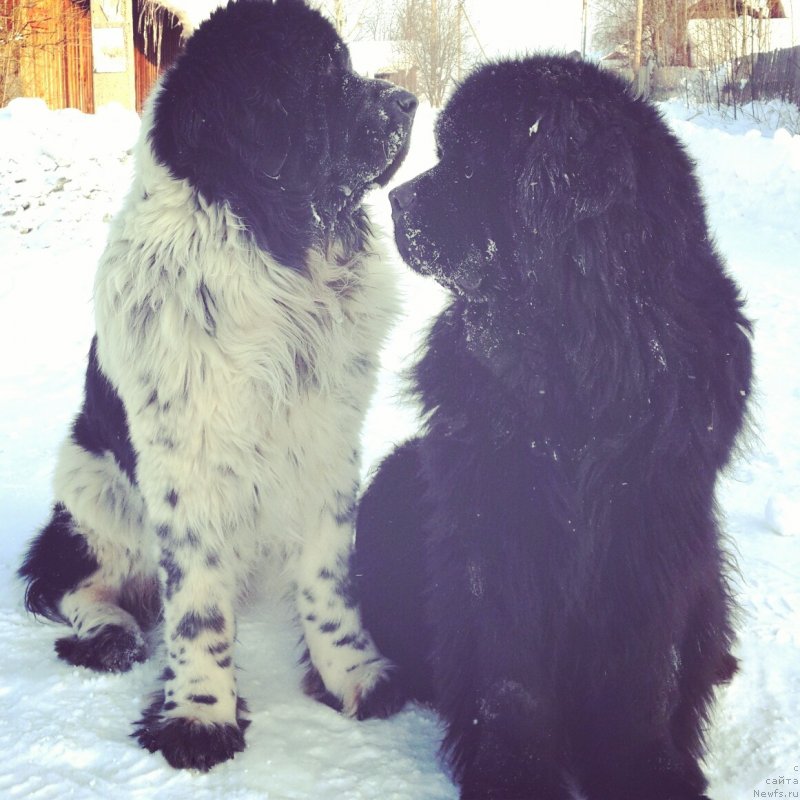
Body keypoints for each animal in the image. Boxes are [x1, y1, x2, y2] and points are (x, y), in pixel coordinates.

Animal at [19, 0, 418, 776]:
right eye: (323, 75)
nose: (410, 101)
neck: (271, 254)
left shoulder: (327, 442)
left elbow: (330, 576)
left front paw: (353, 674)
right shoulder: (184, 466)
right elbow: (197, 604)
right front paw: (200, 715)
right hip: (87, 481)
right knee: (68, 582)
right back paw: (108, 632)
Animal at [354, 57, 752, 800]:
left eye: (469, 163)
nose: (397, 201)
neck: (582, 358)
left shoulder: (649, 534)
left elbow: (641, 681)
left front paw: (645, 770)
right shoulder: (498, 525)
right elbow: (510, 679)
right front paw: (515, 774)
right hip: (397, 479)